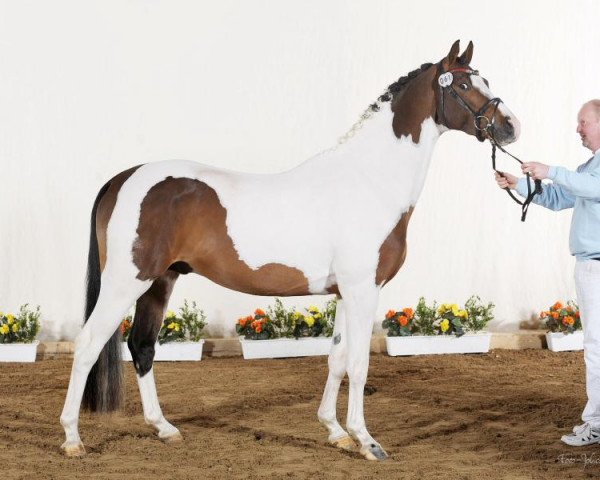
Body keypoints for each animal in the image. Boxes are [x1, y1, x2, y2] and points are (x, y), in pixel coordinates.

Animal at [59, 41, 520, 462]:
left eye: (484, 80)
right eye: (463, 84)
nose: (511, 126)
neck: (369, 180)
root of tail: (124, 178)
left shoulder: (344, 293)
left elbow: (336, 360)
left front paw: (335, 432)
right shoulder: (363, 290)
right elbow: (359, 365)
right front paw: (367, 441)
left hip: (160, 280)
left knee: (142, 346)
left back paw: (164, 428)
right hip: (126, 282)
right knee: (88, 344)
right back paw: (72, 439)